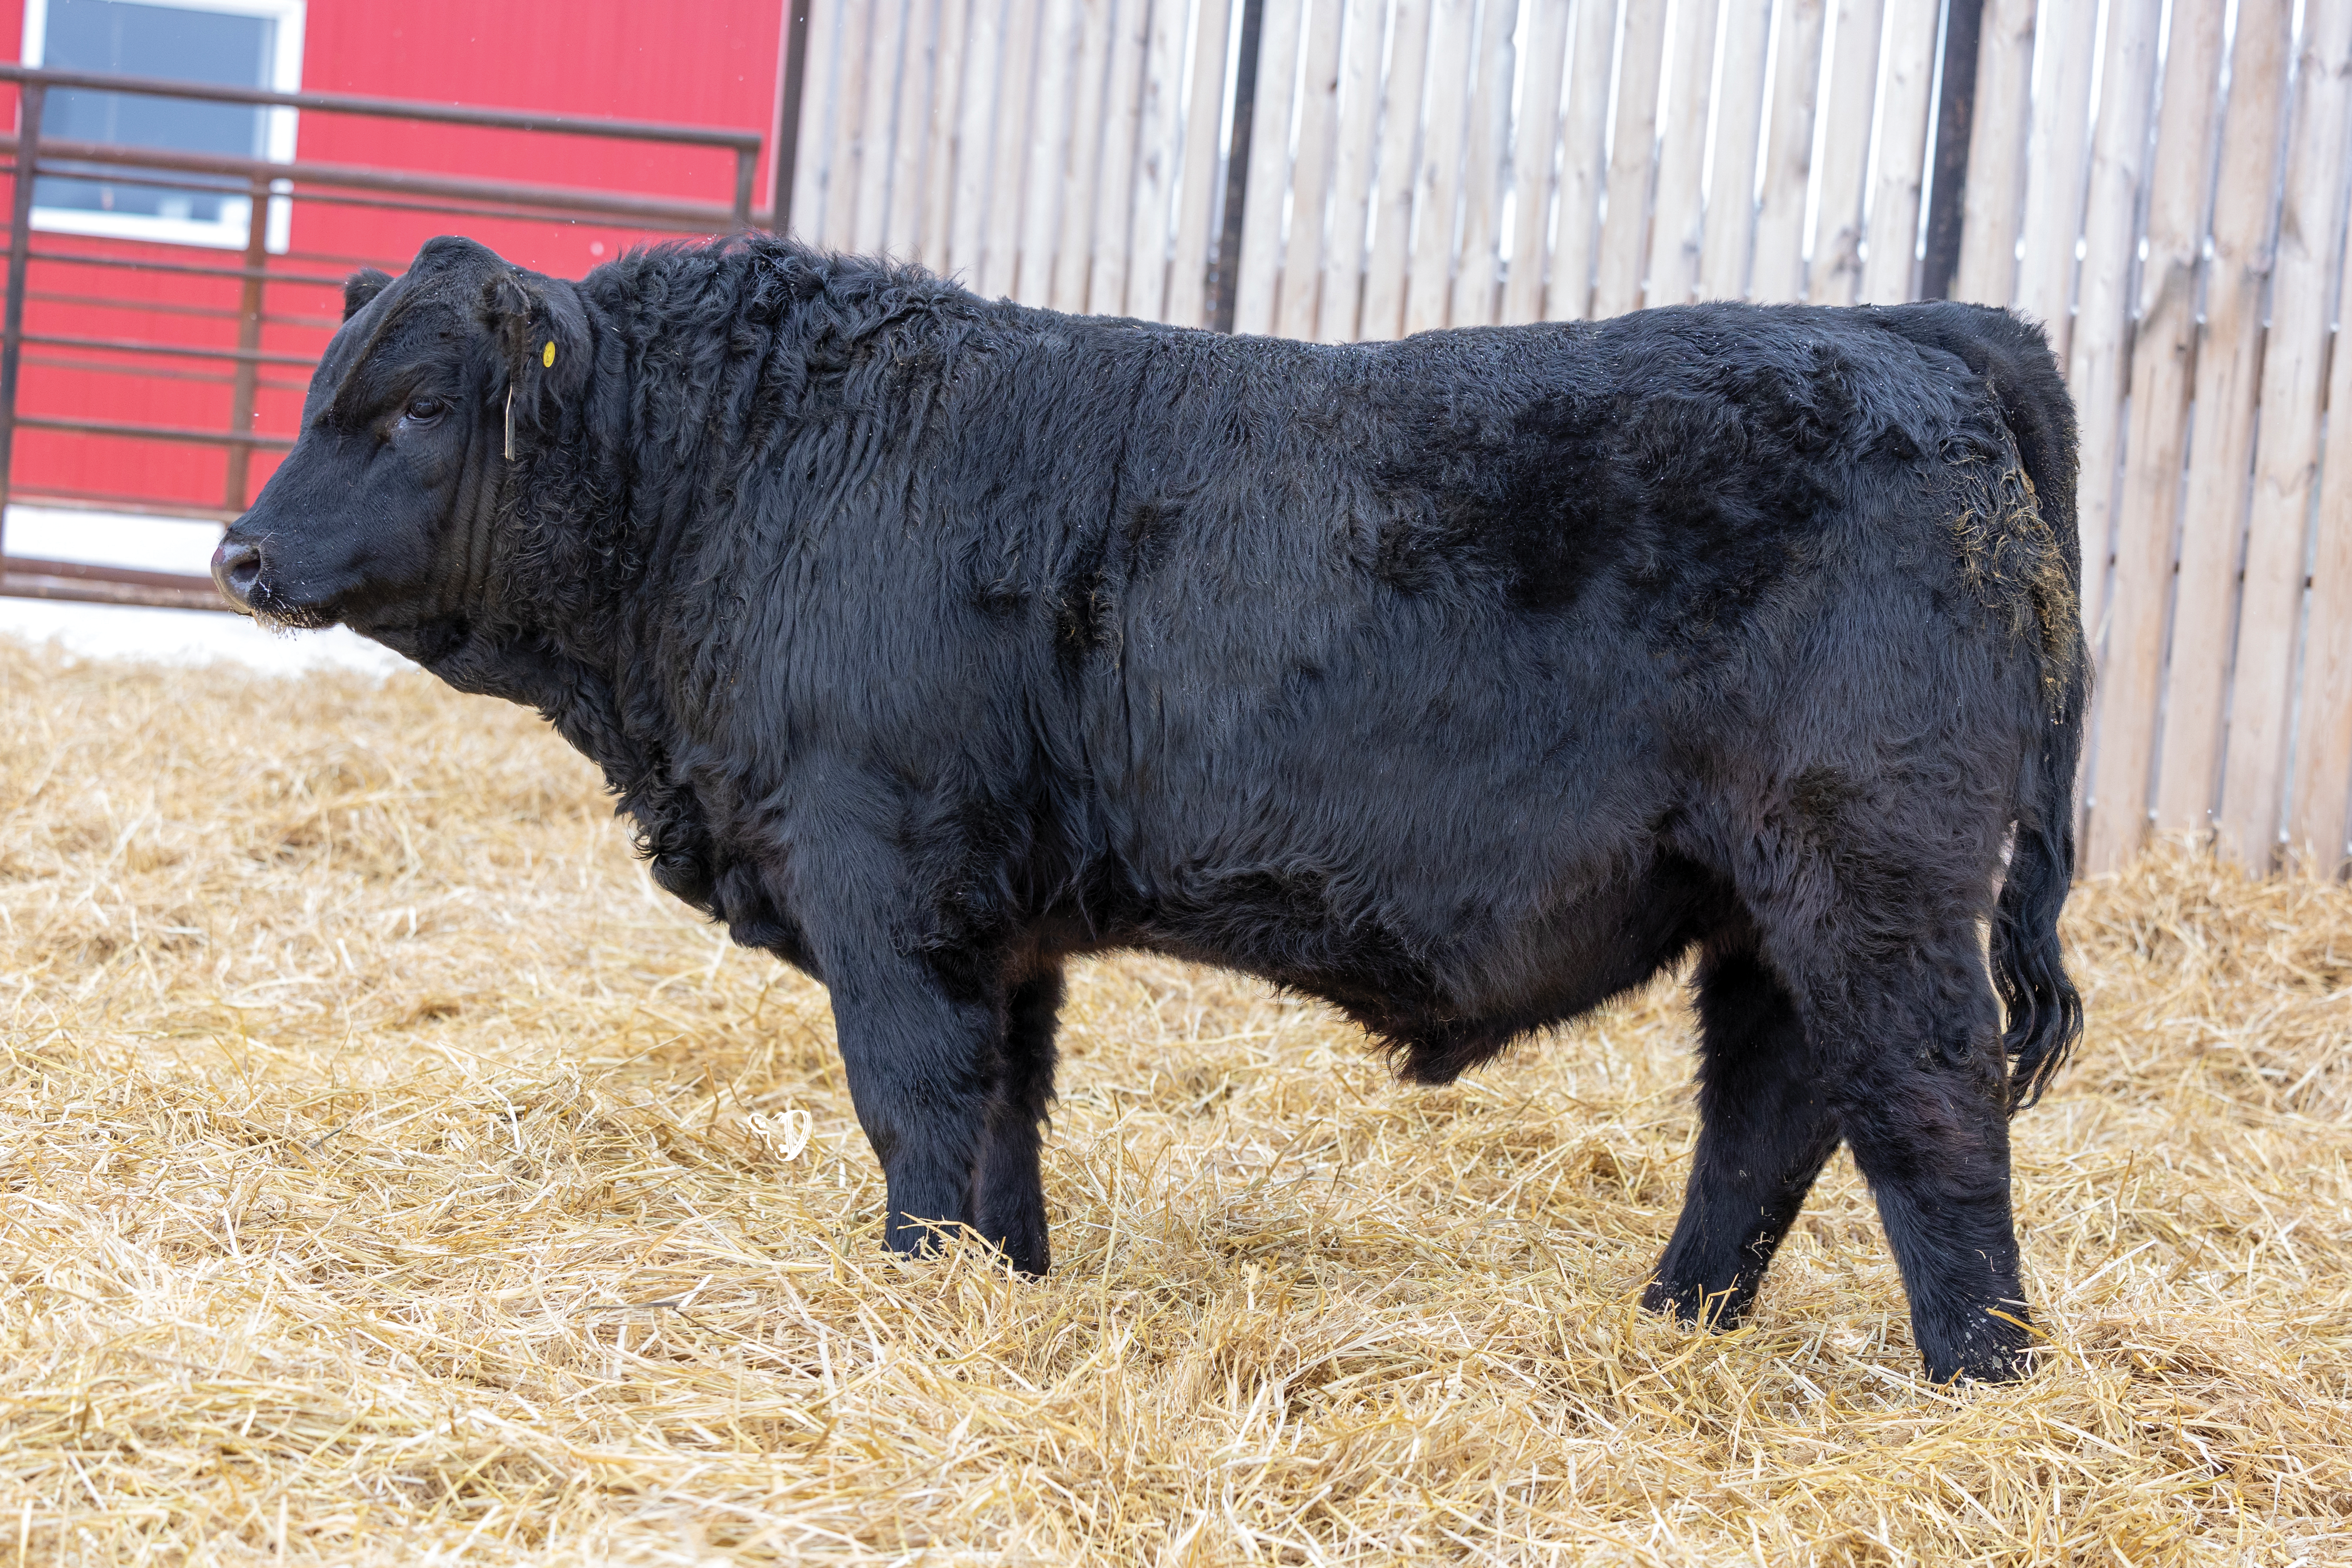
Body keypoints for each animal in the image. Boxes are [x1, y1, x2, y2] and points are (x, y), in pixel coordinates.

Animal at [214, 234, 2086, 1384]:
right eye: (318, 394)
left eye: (421, 406)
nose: (234, 551)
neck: (732, 467)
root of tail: (1908, 328)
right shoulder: (999, 919)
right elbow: (1002, 1118)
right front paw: (998, 1294)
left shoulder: (883, 882)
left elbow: (914, 1106)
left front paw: (915, 1295)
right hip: (1768, 903)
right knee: (1769, 1114)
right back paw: (1676, 1328)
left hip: (1869, 875)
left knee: (1928, 1106)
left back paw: (1982, 1378)